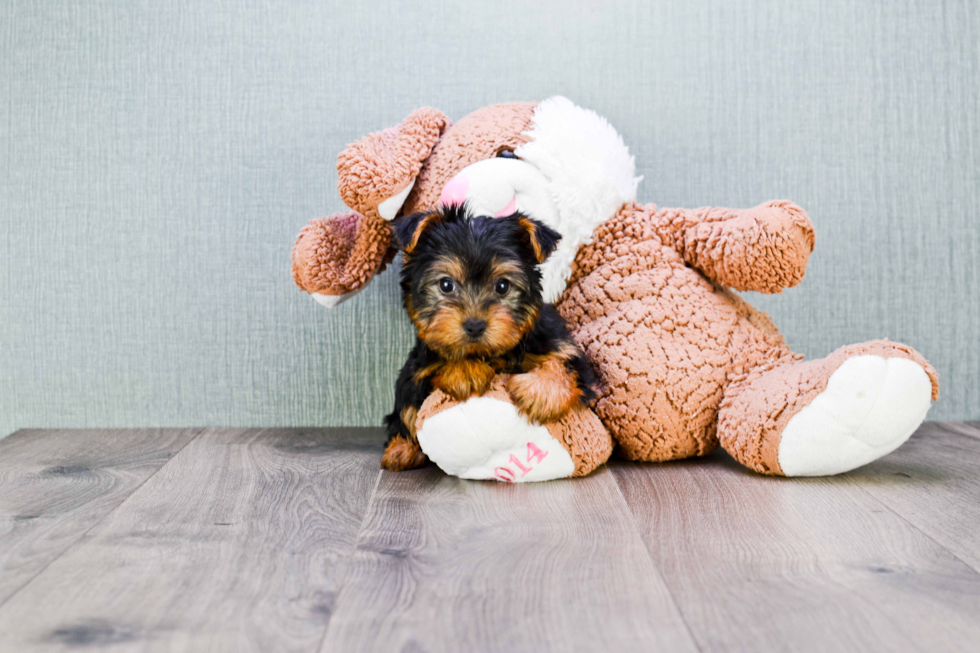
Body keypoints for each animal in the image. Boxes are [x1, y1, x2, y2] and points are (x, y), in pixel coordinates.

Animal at [380, 202, 596, 468]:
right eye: (446, 285)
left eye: (502, 286)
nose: (474, 325)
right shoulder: (417, 370)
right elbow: (420, 389)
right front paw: (465, 369)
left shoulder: (561, 346)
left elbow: (568, 366)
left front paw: (542, 391)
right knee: (404, 413)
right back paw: (402, 448)